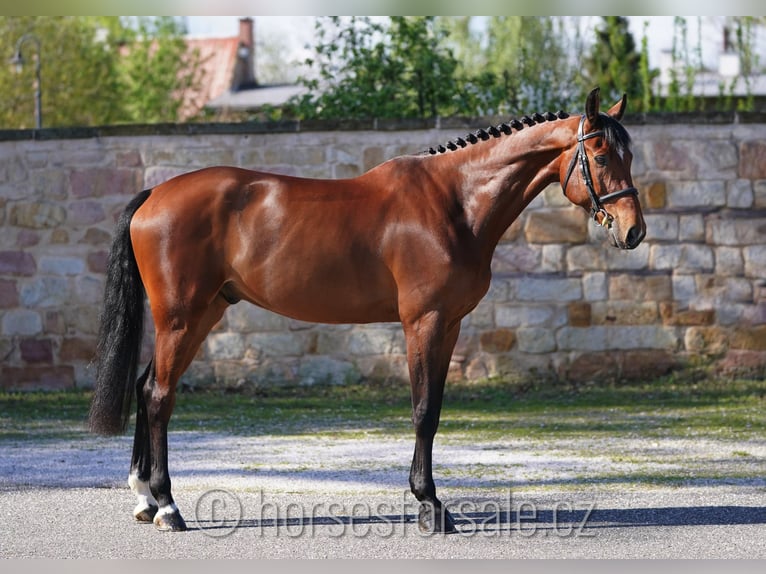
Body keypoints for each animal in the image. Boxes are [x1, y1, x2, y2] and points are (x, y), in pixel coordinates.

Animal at [88, 89, 648, 536]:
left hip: (203, 314)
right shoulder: (424, 321)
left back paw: (145, 499)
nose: (633, 230)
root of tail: (154, 195)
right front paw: (430, 506)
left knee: (146, 386)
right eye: (599, 154)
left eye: (629, 153)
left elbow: (434, 409)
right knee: (158, 396)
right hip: (181, 318)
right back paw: (168, 507)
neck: (454, 202)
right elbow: (424, 411)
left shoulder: (450, 325)